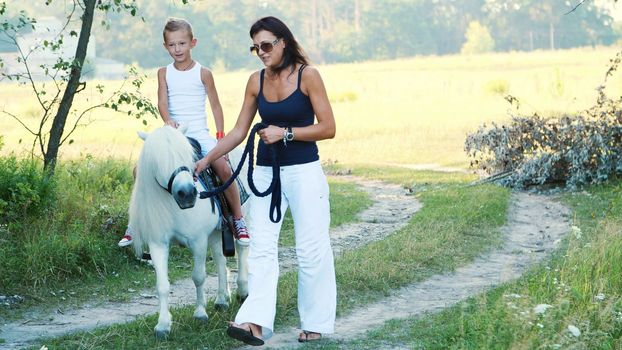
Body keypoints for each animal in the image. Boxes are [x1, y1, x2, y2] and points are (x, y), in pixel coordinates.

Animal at [130, 125, 251, 340]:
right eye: (158, 161)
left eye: (188, 156)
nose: (187, 193)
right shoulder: (158, 244)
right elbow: (162, 285)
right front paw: (163, 325)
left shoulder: (198, 241)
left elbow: (198, 276)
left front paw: (200, 313)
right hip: (216, 232)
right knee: (220, 259)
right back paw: (222, 299)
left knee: (243, 249)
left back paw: (243, 291)